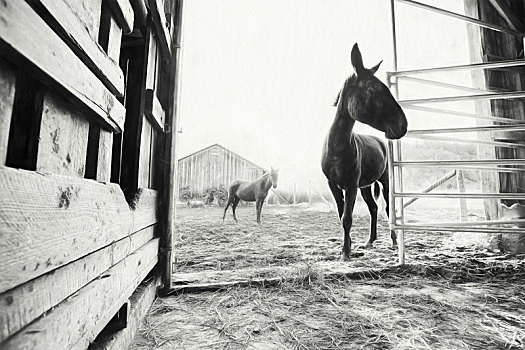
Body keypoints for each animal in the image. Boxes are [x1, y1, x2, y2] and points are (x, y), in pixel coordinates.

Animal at [320, 43, 410, 262]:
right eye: (373, 88)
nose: (402, 125)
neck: (337, 149)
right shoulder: (334, 185)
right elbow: (341, 214)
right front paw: (348, 247)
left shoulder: (351, 185)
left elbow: (347, 217)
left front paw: (346, 252)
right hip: (366, 186)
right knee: (374, 207)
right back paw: (370, 241)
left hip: (384, 182)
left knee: (387, 208)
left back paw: (393, 241)